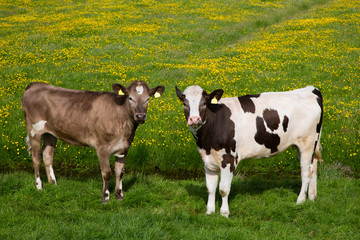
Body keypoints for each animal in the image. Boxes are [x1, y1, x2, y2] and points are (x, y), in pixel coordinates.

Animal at [21, 81, 165, 202]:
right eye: (130, 98)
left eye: (148, 99)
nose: (140, 116)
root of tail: (36, 84)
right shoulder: (102, 147)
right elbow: (106, 172)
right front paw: (105, 197)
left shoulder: (124, 148)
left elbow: (120, 172)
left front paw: (119, 195)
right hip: (34, 131)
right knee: (36, 158)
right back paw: (39, 187)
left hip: (50, 133)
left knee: (47, 156)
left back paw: (53, 184)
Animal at [176, 86, 324, 218]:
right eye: (184, 103)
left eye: (204, 103)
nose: (194, 119)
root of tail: (310, 89)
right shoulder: (208, 160)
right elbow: (210, 188)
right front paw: (210, 212)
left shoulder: (229, 160)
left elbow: (223, 189)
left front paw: (224, 213)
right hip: (305, 145)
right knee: (313, 167)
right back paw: (312, 197)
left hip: (307, 143)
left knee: (305, 172)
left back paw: (300, 200)